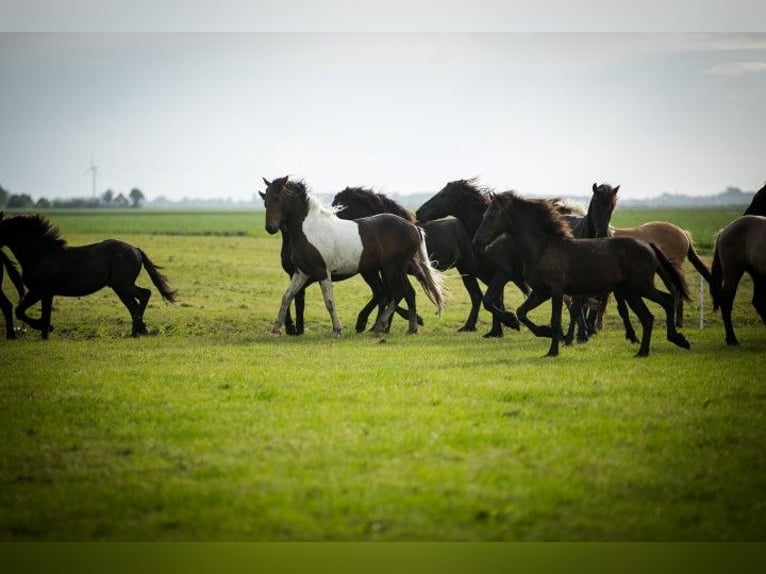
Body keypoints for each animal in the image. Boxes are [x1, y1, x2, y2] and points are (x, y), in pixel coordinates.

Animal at [0, 213, 177, 340]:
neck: (41, 255)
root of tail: (135, 249)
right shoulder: (44, 293)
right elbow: (36, 313)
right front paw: (45, 333)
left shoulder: (40, 291)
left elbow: (23, 312)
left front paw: (46, 330)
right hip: (121, 287)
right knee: (134, 303)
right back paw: (139, 330)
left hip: (122, 284)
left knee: (144, 295)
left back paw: (138, 331)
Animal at [262, 176, 448, 338]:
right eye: (265, 200)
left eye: (277, 198)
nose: (270, 228)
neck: (310, 230)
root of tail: (413, 227)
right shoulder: (302, 272)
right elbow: (287, 296)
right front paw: (276, 330)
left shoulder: (322, 271)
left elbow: (329, 301)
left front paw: (337, 330)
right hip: (394, 269)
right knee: (405, 292)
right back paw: (409, 328)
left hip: (390, 268)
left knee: (397, 292)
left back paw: (380, 326)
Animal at [332, 187, 486, 332]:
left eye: (340, 207)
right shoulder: (391, 270)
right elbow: (396, 295)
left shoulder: (392, 270)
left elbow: (394, 294)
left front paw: (375, 325)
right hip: (466, 270)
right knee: (476, 295)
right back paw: (468, 326)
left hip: (474, 268)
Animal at [472, 191, 692, 358]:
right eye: (483, 216)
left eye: (491, 216)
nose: (476, 242)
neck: (543, 248)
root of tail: (650, 246)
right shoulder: (540, 292)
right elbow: (521, 312)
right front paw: (530, 328)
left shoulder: (555, 291)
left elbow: (555, 319)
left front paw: (553, 350)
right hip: (633, 291)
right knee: (655, 311)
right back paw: (657, 347)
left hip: (640, 288)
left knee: (662, 305)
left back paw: (665, 343)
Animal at [708, 214, 766, 344]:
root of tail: (723, 231)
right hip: (734, 271)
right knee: (726, 300)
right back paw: (732, 339)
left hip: (756, 273)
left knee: (758, 300)